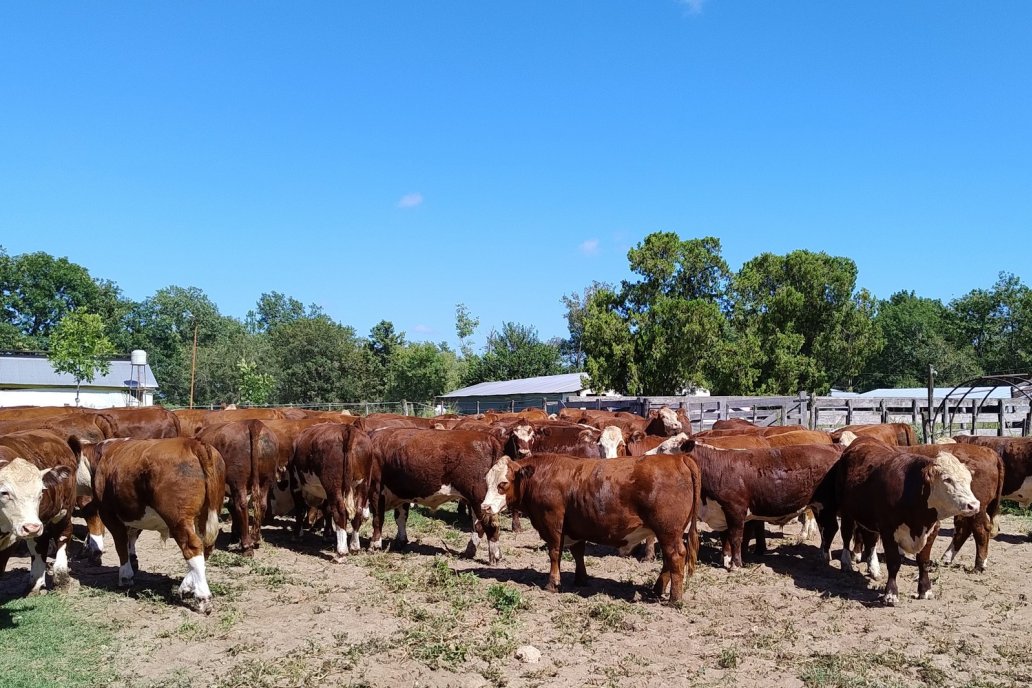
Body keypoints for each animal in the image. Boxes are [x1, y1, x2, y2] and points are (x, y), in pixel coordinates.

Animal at [0, 433, 76, 594]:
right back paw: (36, 584)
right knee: (39, 546)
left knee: (62, 535)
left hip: (62, 513)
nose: (31, 527)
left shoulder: (9, 540)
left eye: (41, 492)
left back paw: (61, 576)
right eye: (4, 492)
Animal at [77, 439, 227, 614]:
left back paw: (203, 597)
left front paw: (125, 576)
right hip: (207, 513)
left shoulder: (109, 514)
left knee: (193, 546)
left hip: (178, 518)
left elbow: (121, 545)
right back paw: (187, 586)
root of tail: (193, 443)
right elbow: (131, 537)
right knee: (205, 546)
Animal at [369, 431, 505, 565]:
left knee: (490, 524)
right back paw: (469, 552)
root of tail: (488, 437)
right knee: (479, 526)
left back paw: (494, 556)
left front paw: (374, 545)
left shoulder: (376, 490)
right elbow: (400, 518)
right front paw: (400, 541)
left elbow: (378, 519)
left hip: (479, 498)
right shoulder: (402, 494)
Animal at [480, 453, 701, 606]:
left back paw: (674, 598)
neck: (541, 476)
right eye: (487, 481)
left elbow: (554, 553)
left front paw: (553, 583)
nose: (485, 507)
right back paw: (657, 589)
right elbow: (578, 552)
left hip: (668, 531)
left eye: (503, 483)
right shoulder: (576, 527)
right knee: (668, 559)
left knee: (675, 556)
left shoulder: (552, 522)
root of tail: (678, 458)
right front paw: (581, 579)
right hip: (670, 533)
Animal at [833, 439, 978, 606]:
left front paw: (925, 590)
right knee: (846, 535)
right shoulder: (888, 531)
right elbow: (894, 562)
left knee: (870, 541)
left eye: (969, 480)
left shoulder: (932, 530)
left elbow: (923, 561)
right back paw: (846, 563)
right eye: (947, 479)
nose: (974, 505)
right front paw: (890, 594)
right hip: (846, 512)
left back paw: (874, 569)